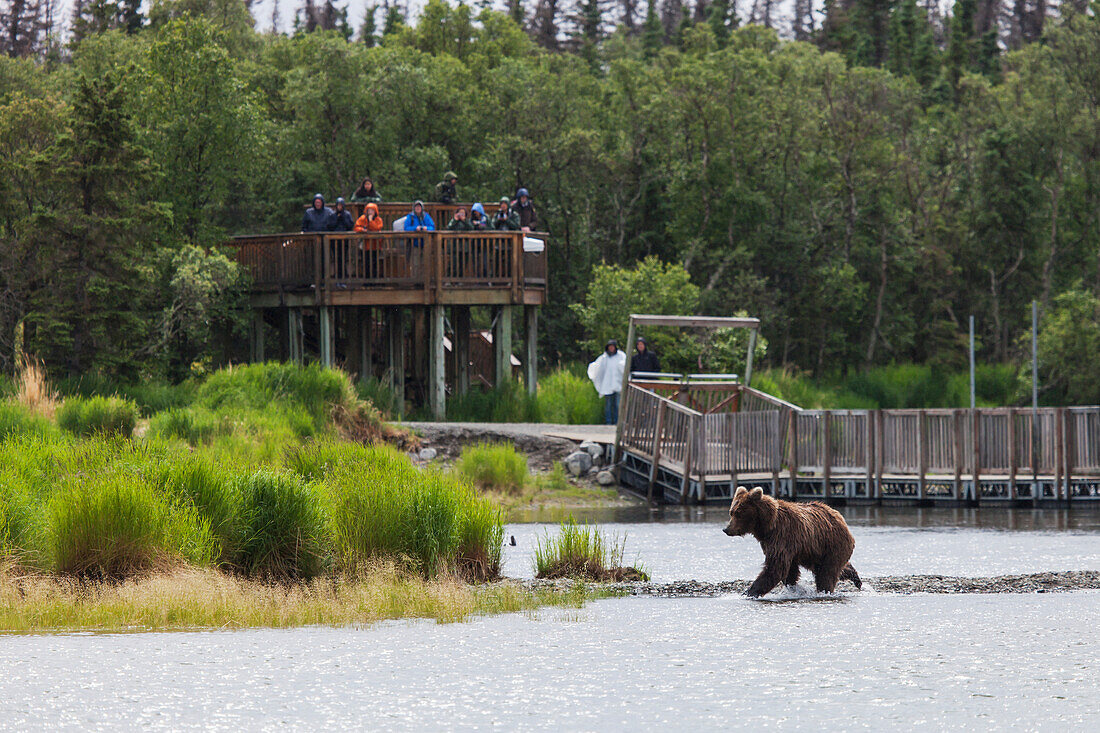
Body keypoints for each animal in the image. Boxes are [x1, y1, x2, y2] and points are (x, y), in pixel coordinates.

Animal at [726, 482, 862, 598]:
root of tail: (841, 518)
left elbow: (775, 568)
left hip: (832, 544)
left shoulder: (782, 536)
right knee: (832, 568)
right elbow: (788, 570)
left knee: (827, 573)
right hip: (814, 551)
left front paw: (749, 592)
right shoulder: (772, 543)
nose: (726, 529)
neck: (767, 526)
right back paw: (855, 578)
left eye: (738, 513)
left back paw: (825, 590)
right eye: (731, 512)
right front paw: (792, 588)